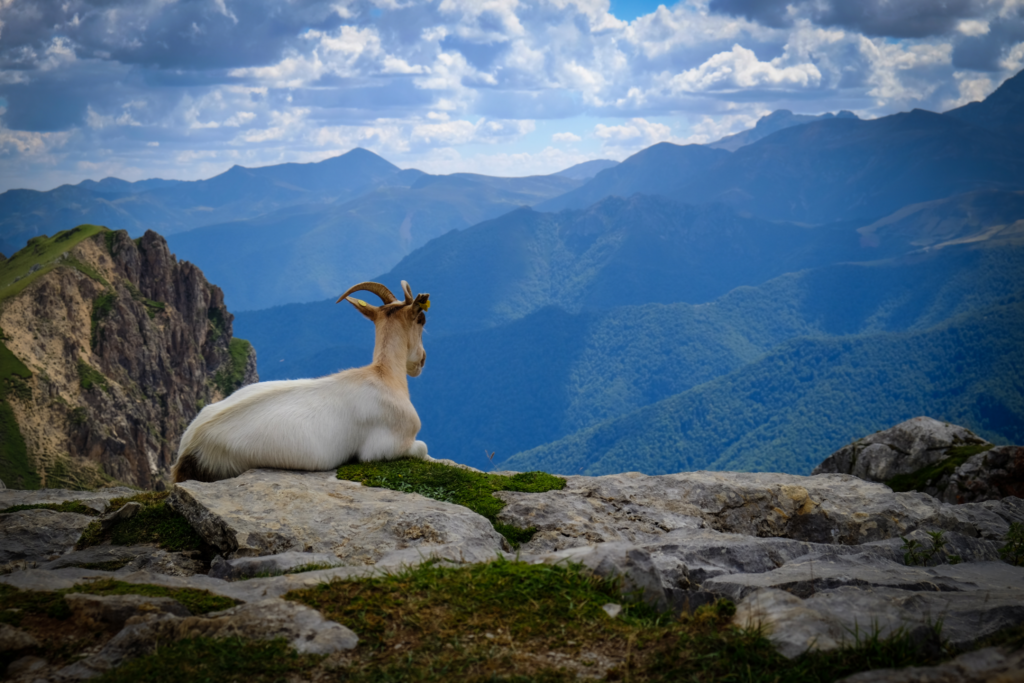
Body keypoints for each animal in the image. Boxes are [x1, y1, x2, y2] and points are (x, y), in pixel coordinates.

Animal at [174, 280, 430, 483]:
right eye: (421, 320)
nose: (422, 360)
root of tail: (191, 447)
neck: (384, 376)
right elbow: (423, 448)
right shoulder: (383, 448)